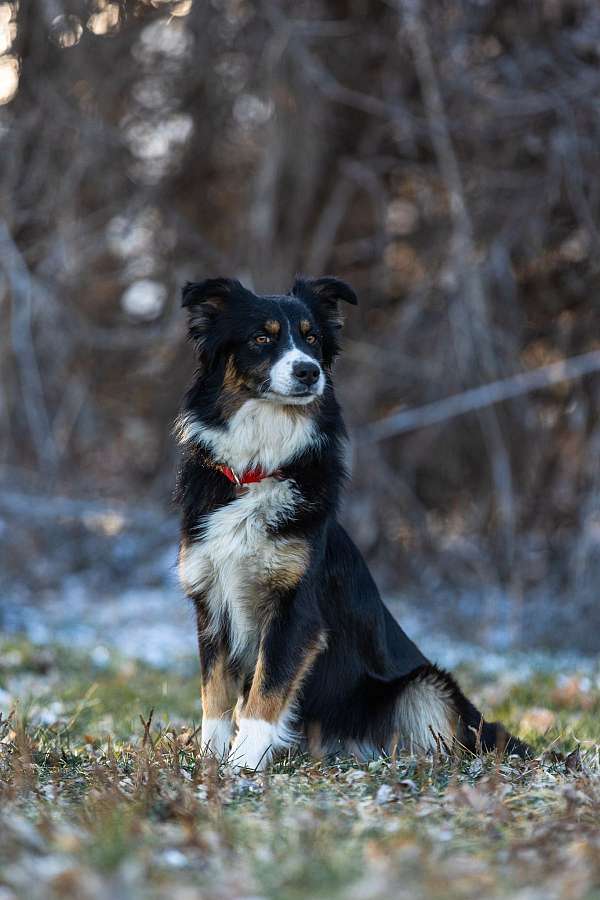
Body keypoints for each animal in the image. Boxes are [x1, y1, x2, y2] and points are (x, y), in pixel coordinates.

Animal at [172, 278, 524, 768]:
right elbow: (216, 696)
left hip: (424, 686)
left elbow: (265, 692)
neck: (258, 468)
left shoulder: (295, 610)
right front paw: (210, 761)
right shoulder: (210, 600)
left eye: (313, 339)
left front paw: (242, 766)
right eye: (261, 338)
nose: (308, 372)